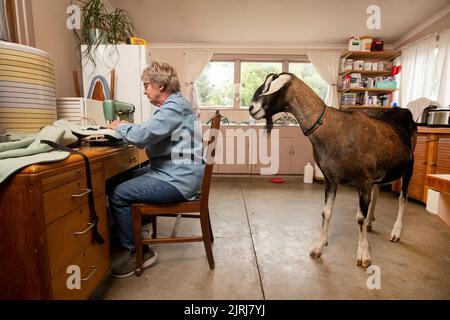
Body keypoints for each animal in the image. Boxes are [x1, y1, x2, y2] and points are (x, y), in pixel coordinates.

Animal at [248, 72, 416, 268]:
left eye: (273, 88)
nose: (251, 108)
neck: (334, 128)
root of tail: (404, 111)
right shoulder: (331, 179)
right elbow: (326, 213)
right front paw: (319, 247)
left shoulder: (364, 181)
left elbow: (359, 217)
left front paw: (363, 254)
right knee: (377, 194)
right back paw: (370, 224)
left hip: (409, 167)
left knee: (402, 198)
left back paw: (396, 232)